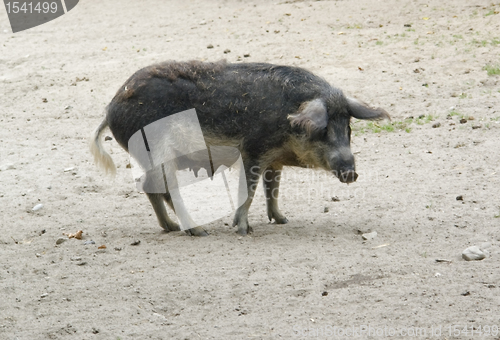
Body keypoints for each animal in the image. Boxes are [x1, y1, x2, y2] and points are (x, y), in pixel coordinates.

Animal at [90, 59, 388, 236]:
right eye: (323, 130)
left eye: (348, 129)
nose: (351, 173)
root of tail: (110, 108)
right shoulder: (253, 150)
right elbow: (249, 191)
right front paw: (244, 230)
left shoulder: (273, 159)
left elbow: (273, 189)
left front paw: (282, 220)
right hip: (159, 153)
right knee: (166, 189)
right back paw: (197, 231)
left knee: (149, 186)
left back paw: (171, 227)